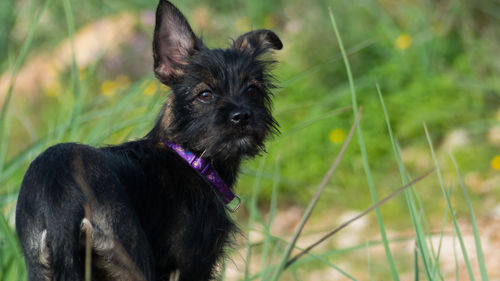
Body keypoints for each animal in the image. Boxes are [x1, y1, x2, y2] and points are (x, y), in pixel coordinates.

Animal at [14, 1, 282, 278]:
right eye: (205, 95)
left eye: (253, 90)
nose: (242, 116)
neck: (190, 157)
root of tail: (60, 198)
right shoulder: (192, 266)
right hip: (131, 257)